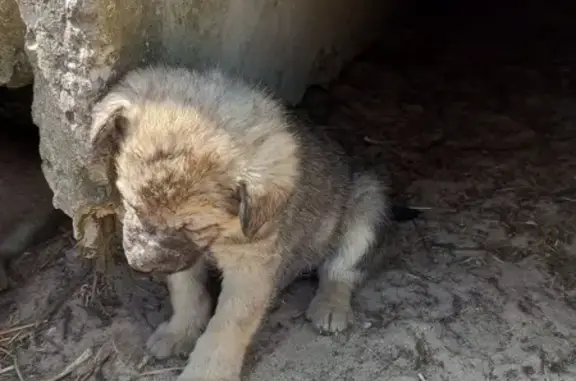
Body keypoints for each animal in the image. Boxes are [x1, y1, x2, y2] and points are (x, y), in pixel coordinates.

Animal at [89, 66, 388, 380]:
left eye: (192, 227)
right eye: (132, 205)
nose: (141, 264)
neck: (223, 236)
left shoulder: (251, 267)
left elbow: (228, 324)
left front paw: (206, 372)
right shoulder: (183, 258)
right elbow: (186, 291)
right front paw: (180, 331)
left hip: (368, 202)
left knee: (341, 271)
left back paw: (330, 306)